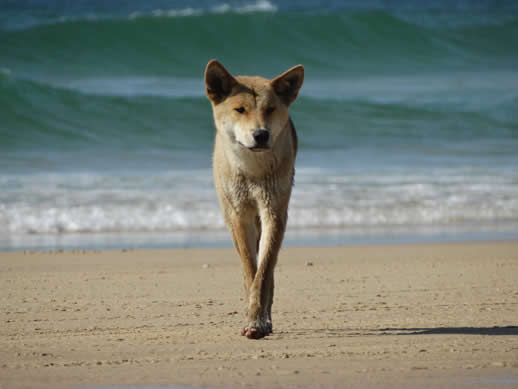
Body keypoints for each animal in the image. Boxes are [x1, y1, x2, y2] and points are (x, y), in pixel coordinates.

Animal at [205, 59, 304, 338]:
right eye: (240, 109)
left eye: (270, 109)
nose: (261, 134)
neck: (253, 170)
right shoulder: (241, 215)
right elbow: (250, 270)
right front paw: (253, 317)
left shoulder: (274, 212)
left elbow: (264, 272)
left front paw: (258, 321)